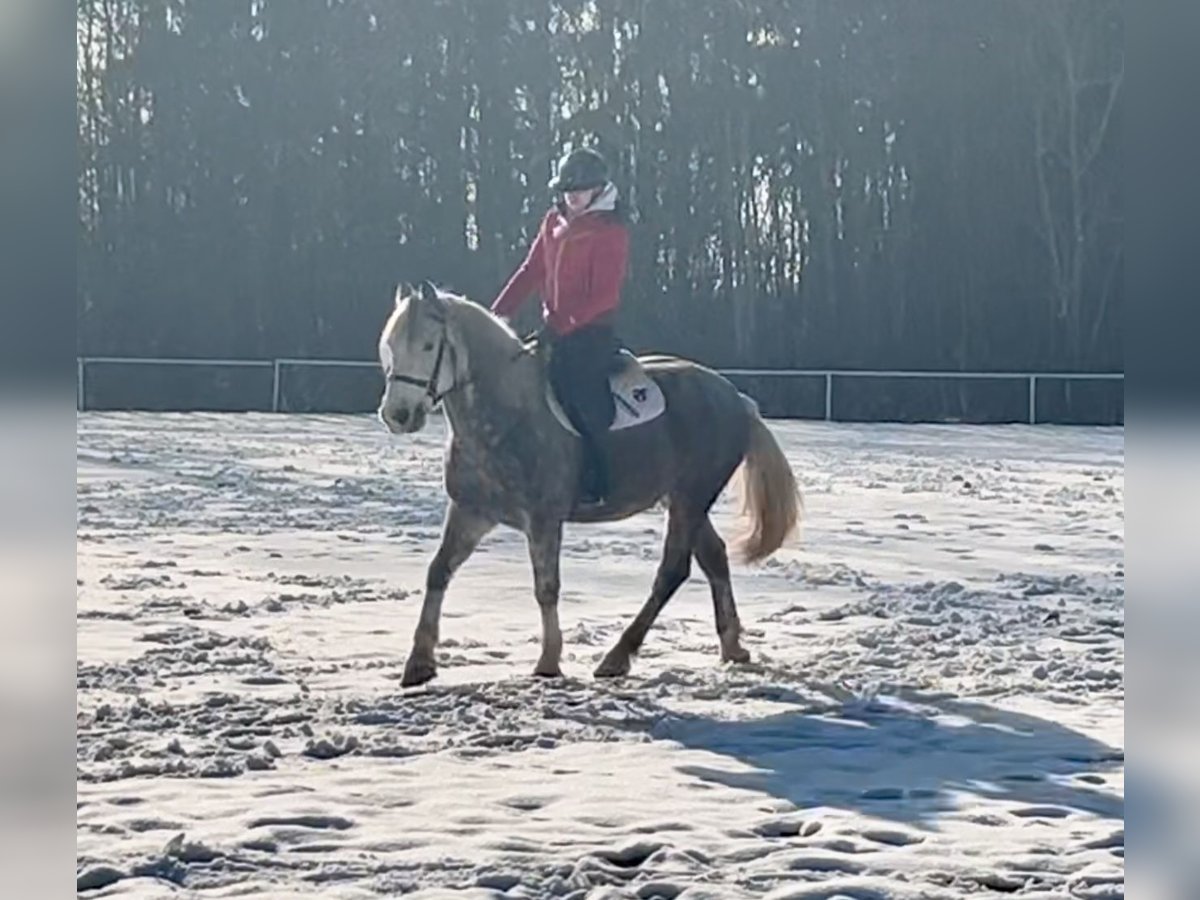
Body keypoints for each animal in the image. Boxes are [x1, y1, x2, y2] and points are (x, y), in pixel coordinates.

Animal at [374, 285, 801, 686]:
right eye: (390, 346)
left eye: (429, 345)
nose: (397, 415)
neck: (505, 414)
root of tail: (736, 398)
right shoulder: (471, 512)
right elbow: (438, 571)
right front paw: (418, 663)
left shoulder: (543, 519)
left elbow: (546, 587)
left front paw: (548, 661)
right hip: (681, 498)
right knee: (713, 557)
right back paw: (732, 646)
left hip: (691, 497)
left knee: (672, 569)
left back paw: (618, 656)